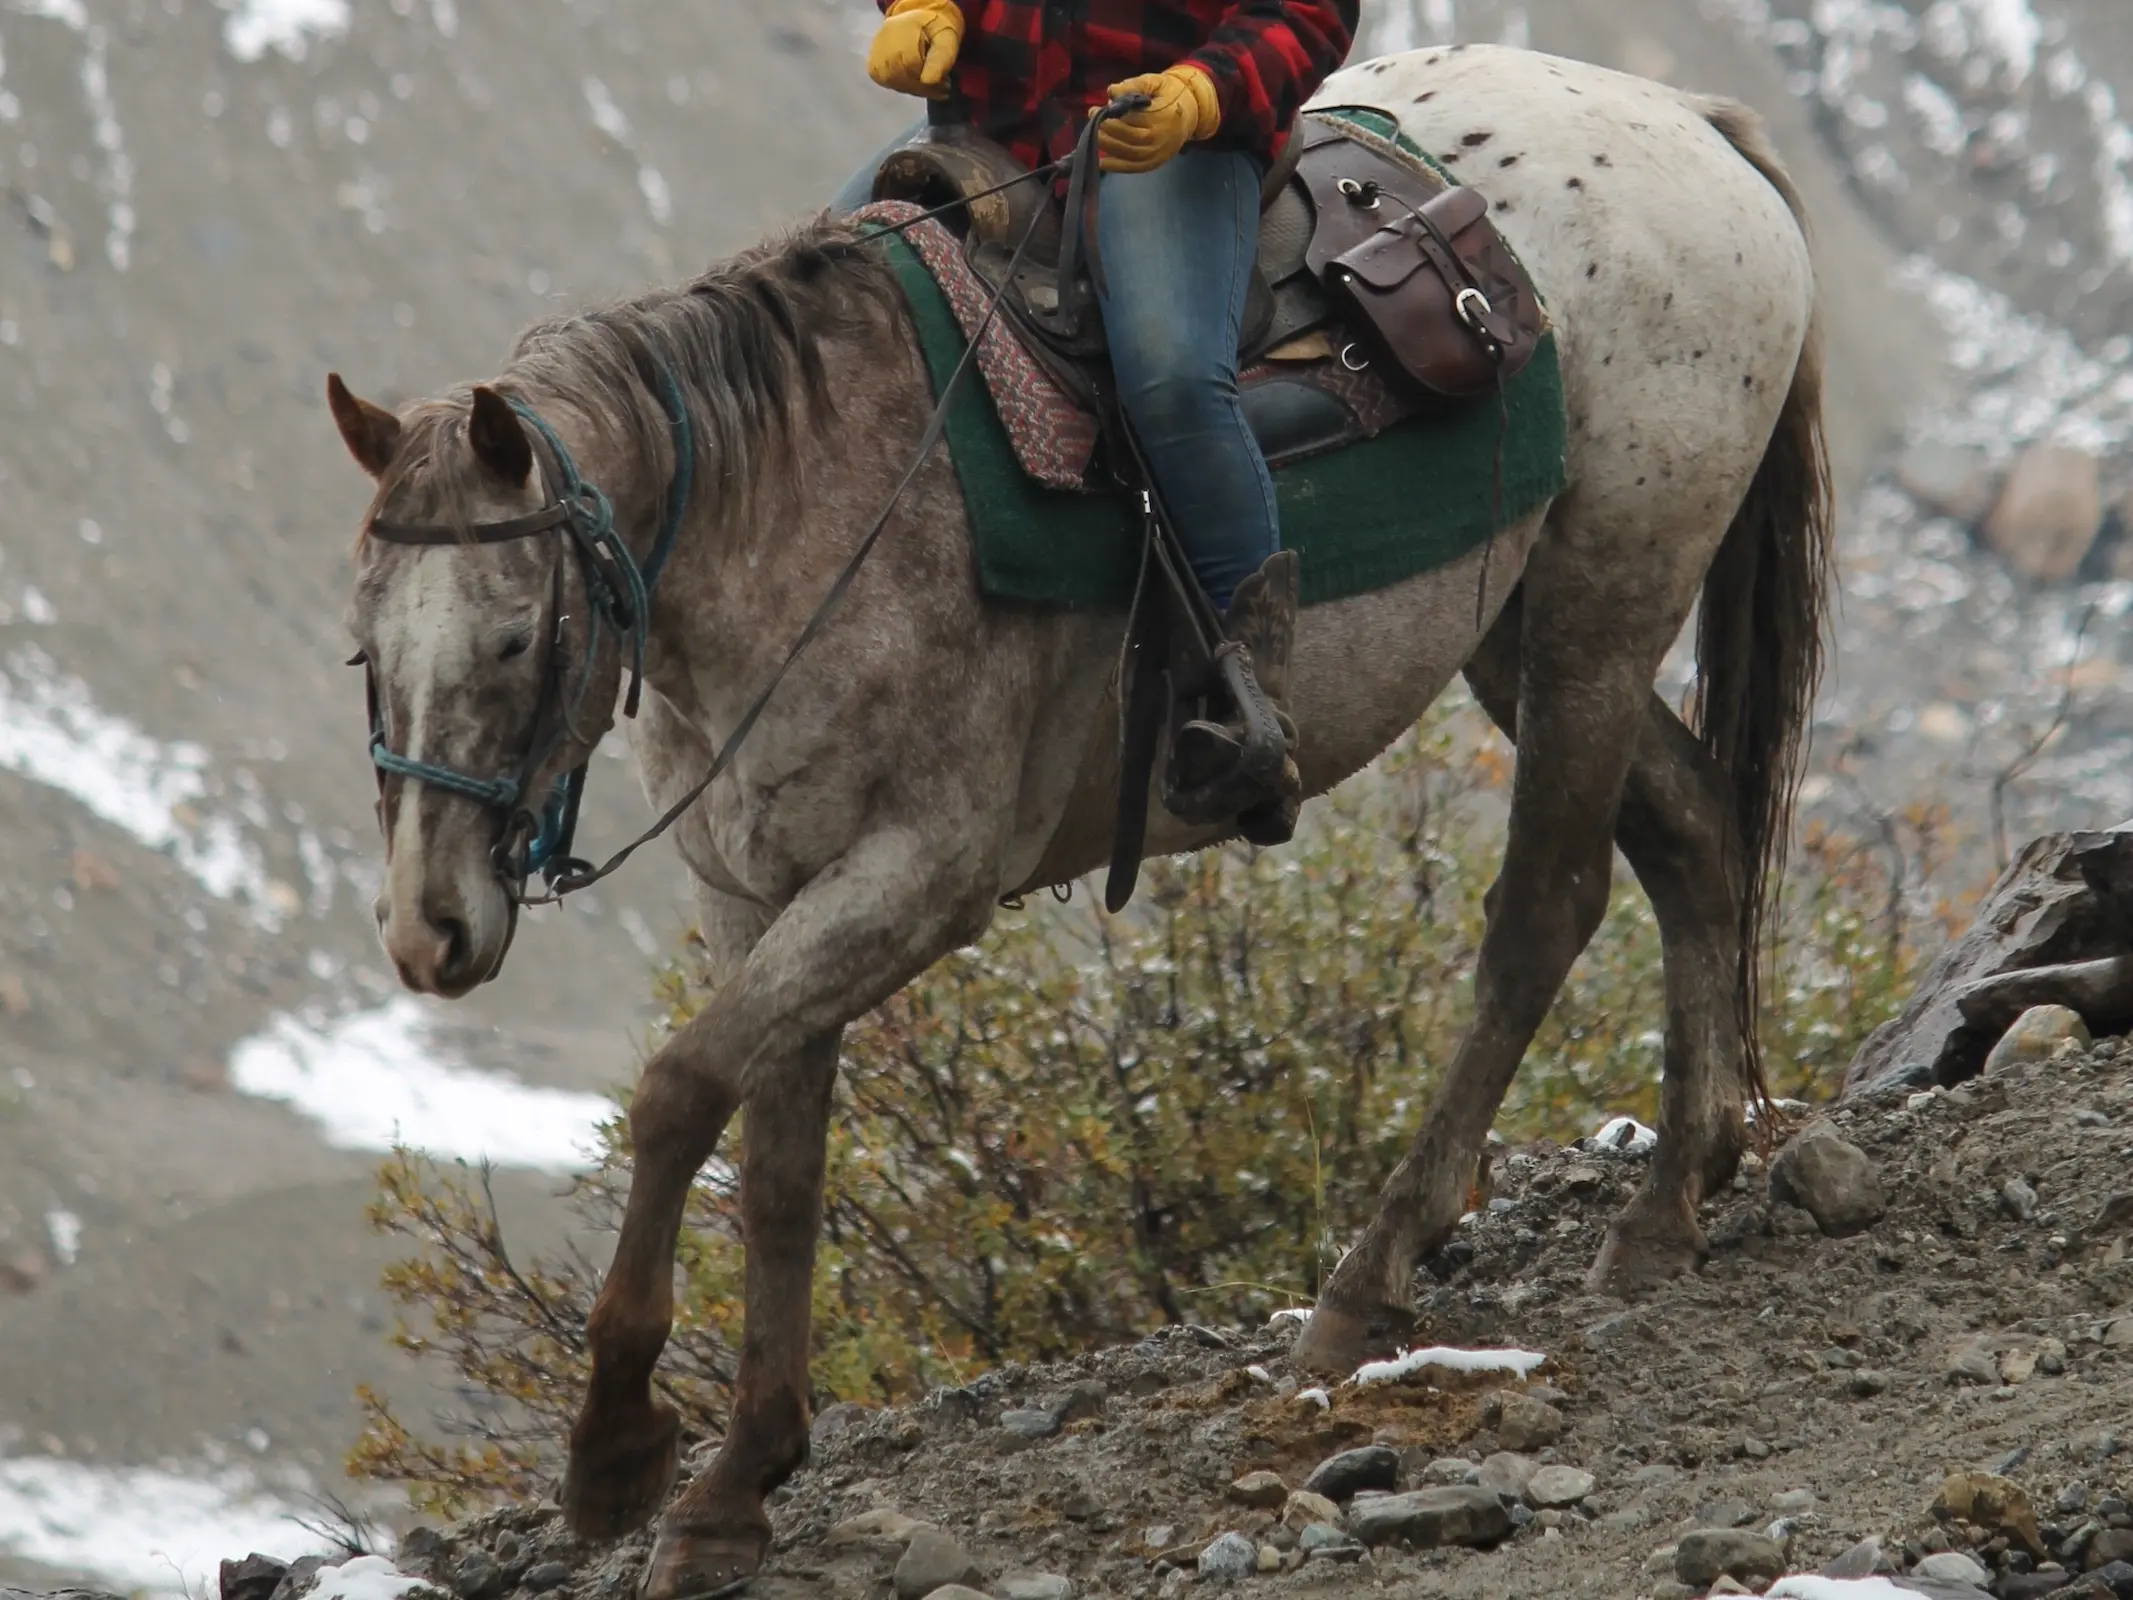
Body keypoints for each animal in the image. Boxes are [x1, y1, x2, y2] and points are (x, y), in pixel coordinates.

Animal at [328, 43, 1834, 1595]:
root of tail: (1686, 124)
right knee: (1694, 834)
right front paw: (739, 1480)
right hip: (1523, 627)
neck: (803, 497)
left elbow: (684, 1091)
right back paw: (1674, 1195)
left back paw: (1368, 1287)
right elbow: (783, 1159)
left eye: (514, 639)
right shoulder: (760, 890)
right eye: (363, 648)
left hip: (1603, 603)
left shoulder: (918, 876)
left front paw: (618, 1448)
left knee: (1546, 912)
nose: (428, 931)